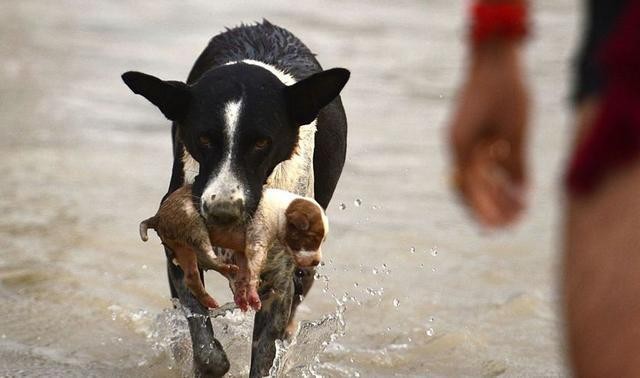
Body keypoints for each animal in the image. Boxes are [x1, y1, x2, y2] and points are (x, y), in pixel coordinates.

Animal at [122, 21, 348, 378]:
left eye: (261, 143)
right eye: (203, 139)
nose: (222, 212)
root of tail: (262, 26)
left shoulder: (279, 283)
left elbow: (266, 351)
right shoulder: (179, 258)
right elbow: (204, 343)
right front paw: (207, 361)